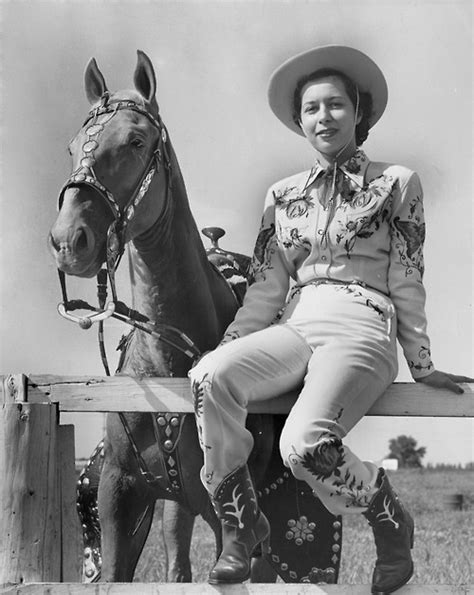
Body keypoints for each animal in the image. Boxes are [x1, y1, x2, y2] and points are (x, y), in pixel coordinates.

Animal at [49, 51, 340, 588]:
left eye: (136, 141)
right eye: (74, 146)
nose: (67, 241)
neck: (169, 364)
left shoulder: (227, 511)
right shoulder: (120, 496)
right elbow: (118, 570)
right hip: (174, 507)